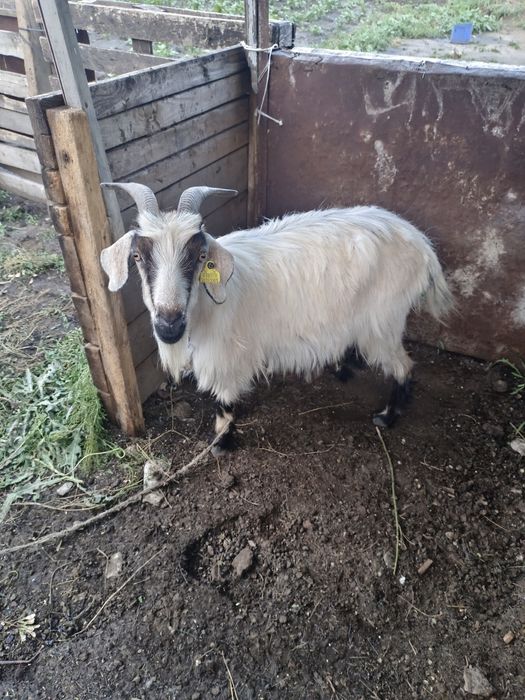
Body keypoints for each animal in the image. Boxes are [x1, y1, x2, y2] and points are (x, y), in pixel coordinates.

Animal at [100, 183, 453, 455]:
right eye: (137, 256)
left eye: (200, 256)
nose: (169, 325)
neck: (205, 307)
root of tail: (422, 246)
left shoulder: (227, 356)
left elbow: (224, 401)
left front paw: (221, 443)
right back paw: (344, 368)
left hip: (384, 320)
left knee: (403, 366)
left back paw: (387, 416)